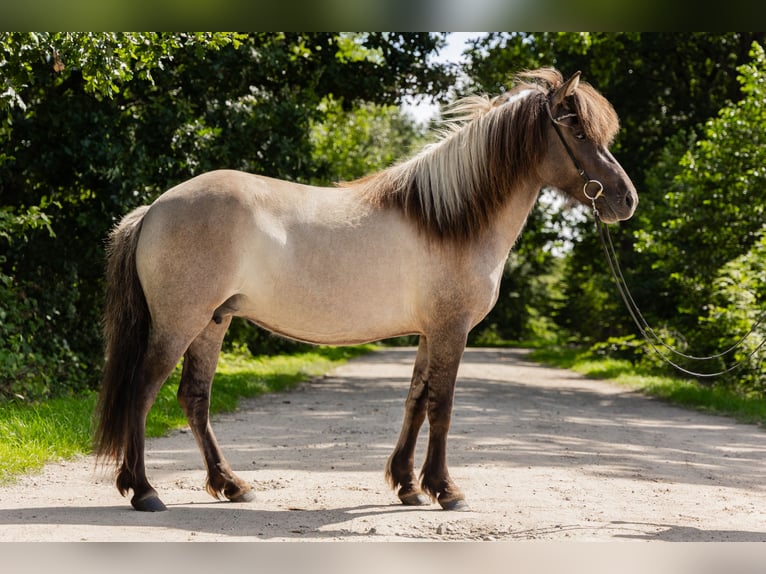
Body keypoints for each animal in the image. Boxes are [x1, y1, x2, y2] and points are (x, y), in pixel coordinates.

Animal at [94, 68, 637, 512]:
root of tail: (155, 208)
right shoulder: (452, 330)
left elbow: (416, 401)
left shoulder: (430, 333)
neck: (447, 220)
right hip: (179, 323)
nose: (625, 199)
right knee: (141, 392)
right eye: (578, 131)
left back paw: (231, 485)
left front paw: (408, 486)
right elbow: (442, 406)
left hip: (213, 321)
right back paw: (144, 491)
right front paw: (446, 490)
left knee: (194, 398)